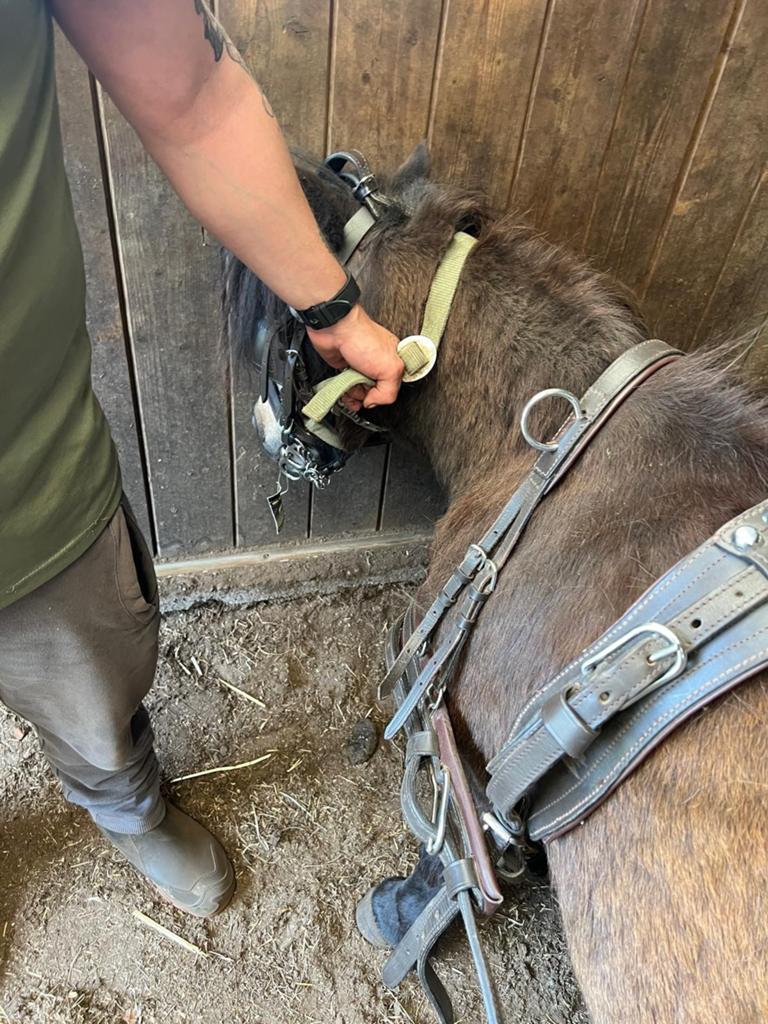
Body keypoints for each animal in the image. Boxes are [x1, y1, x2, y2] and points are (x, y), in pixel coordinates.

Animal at [222, 144, 768, 1024]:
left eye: (285, 332)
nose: (269, 432)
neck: (548, 439)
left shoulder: (459, 727)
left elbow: (453, 853)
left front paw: (400, 913)